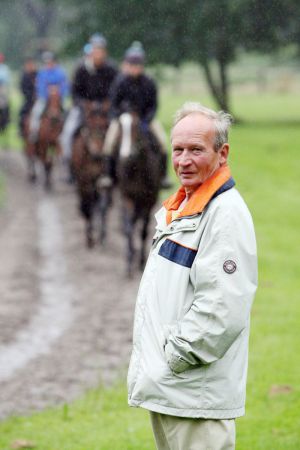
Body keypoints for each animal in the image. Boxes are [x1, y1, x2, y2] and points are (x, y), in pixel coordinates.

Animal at [71, 100, 110, 248]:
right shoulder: (85, 182)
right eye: (89, 124)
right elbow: (88, 206)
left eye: (105, 125)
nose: (97, 154)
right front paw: (90, 238)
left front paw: (102, 236)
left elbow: (102, 206)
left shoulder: (102, 182)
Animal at [116, 111, 163, 278]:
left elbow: (143, 230)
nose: (126, 156)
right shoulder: (127, 198)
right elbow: (130, 228)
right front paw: (129, 262)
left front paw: (141, 261)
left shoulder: (149, 200)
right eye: (120, 127)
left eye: (136, 126)